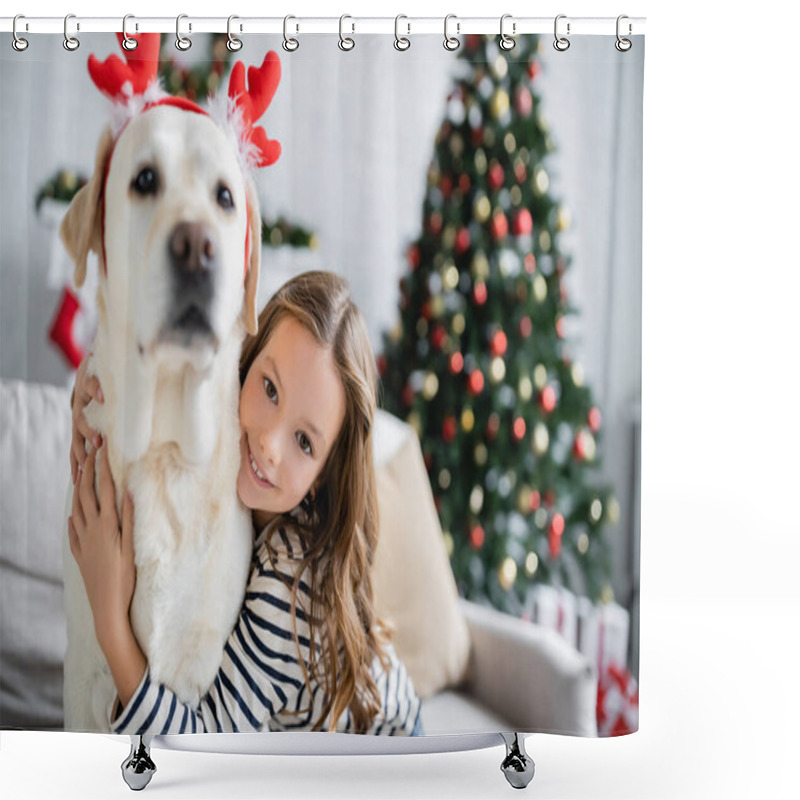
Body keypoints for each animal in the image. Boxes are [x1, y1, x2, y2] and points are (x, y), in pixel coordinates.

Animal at [60, 42, 278, 732]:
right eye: (145, 181)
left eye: (225, 197)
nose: (196, 246)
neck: (163, 450)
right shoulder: (85, 676)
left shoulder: (198, 674)